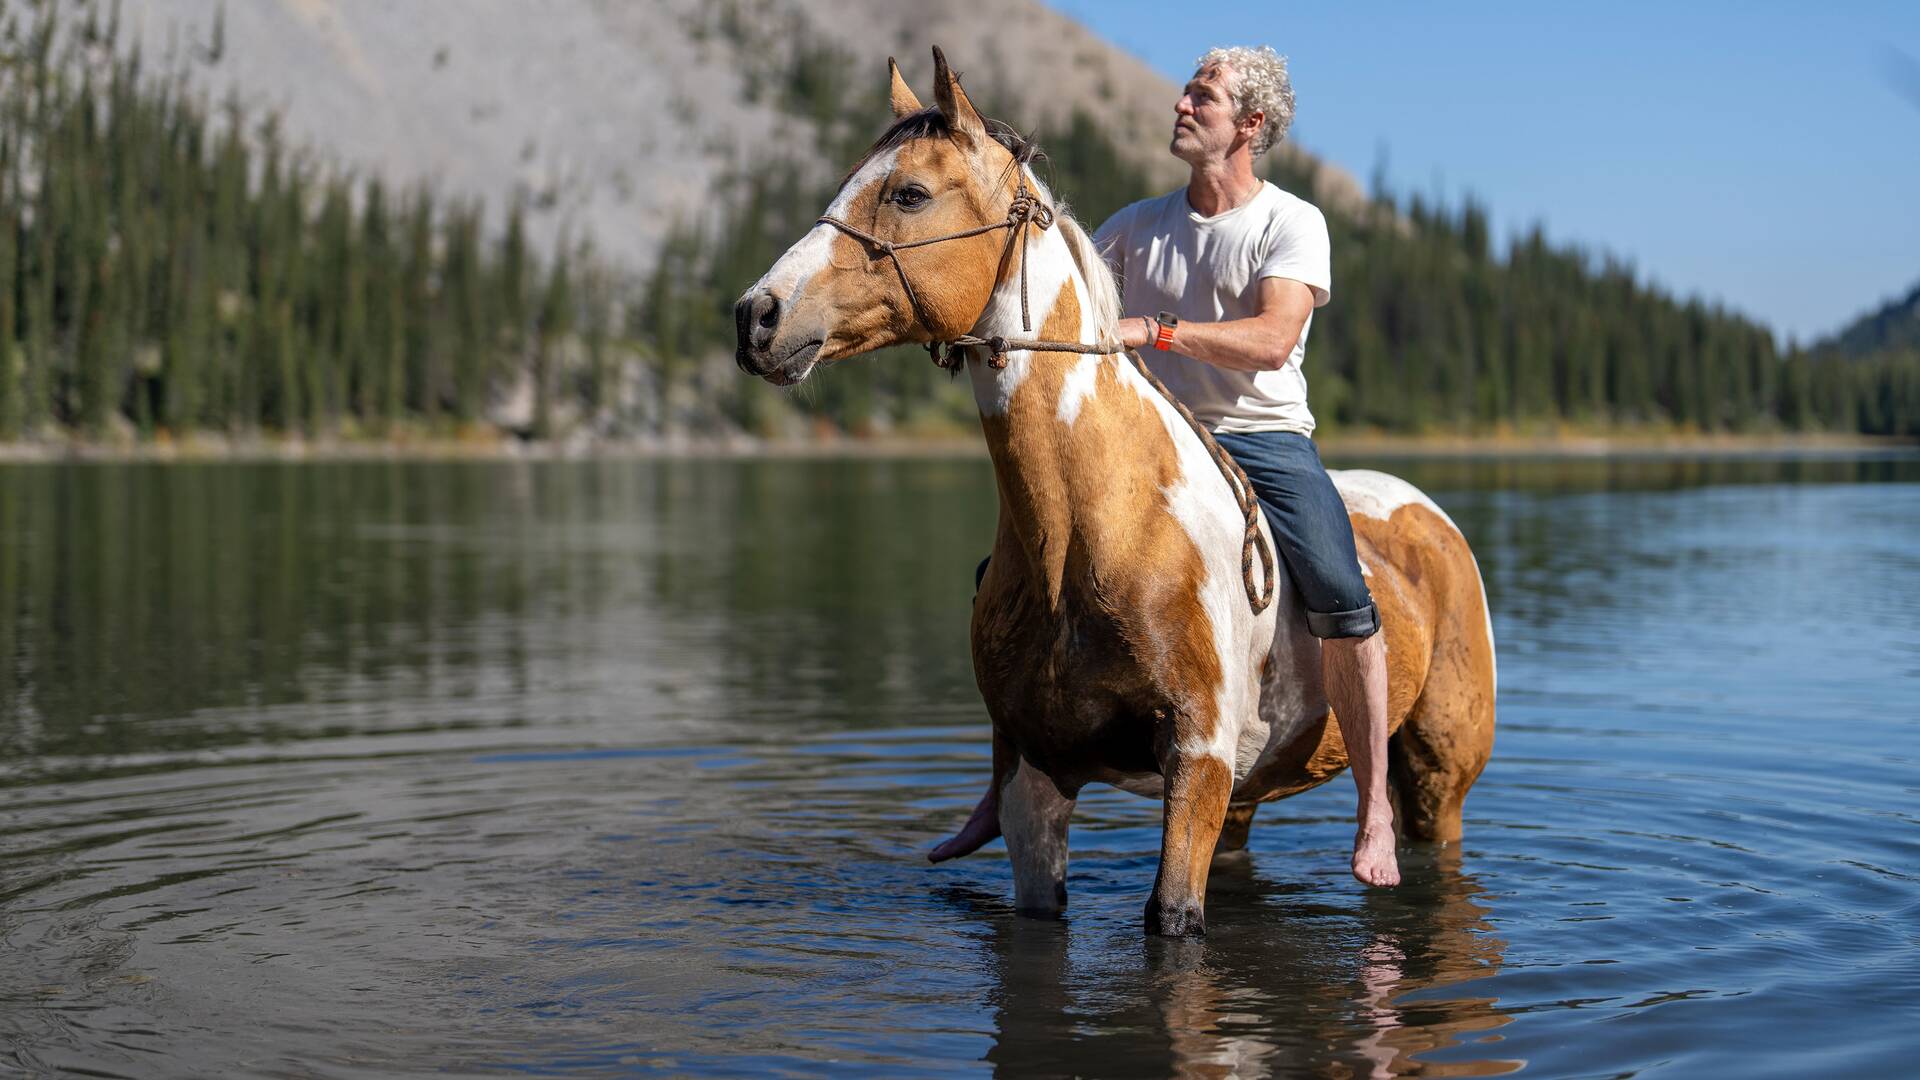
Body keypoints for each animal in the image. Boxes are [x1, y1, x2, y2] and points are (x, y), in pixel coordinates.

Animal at [735, 48, 1496, 936]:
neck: (1094, 532)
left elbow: (1172, 919)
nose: (756, 316)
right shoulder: (1037, 777)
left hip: (1437, 782)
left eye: (910, 193)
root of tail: (1429, 516)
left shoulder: (1196, 765)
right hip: (1247, 795)